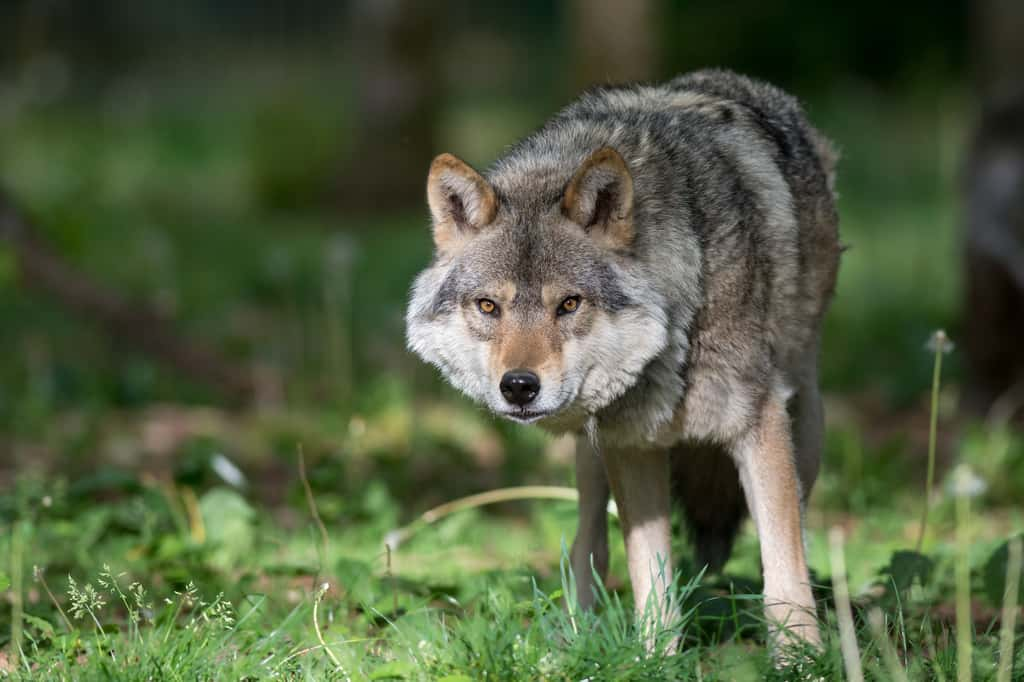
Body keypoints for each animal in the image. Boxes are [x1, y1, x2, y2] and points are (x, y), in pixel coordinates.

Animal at [405, 70, 839, 647]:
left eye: (569, 304)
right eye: (488, 306)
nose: (518, 386)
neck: (676, 332)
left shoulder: (759, 427)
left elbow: (784, 578)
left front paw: (800, 659)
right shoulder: (630, 445)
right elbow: (651, 584)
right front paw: (658, 657)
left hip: (805, 427)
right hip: (591, 455)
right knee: (588, 544)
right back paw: (573, 640)